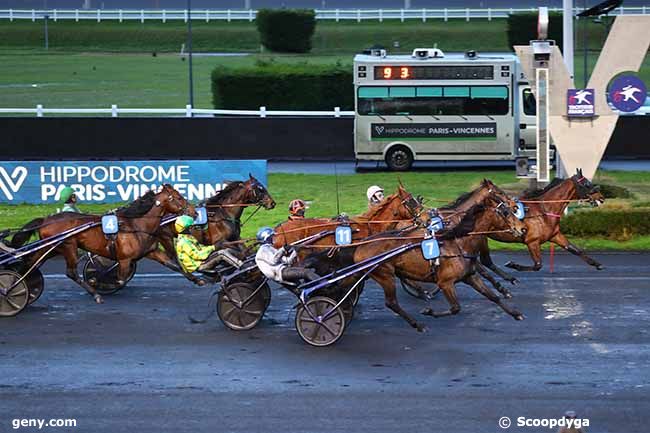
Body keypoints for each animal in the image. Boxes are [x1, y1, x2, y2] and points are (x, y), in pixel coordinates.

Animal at [11, 184, 191, 302]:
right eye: (179, 197)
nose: (193, 211)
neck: (136, 225)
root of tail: (45, 220)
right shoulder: (125, 259)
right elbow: (118, 279)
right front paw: (97, 280)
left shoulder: (151, 252)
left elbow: (175, 266)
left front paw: (195, 279)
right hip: (68, 246)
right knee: (71, 272)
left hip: (52, 248)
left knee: (31, 262)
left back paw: (18, 285)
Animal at [346, 183, 524, 330]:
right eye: (505, 212)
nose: (522, 228)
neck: (458, 241)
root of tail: (361, 246)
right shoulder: (446, 283)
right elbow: (456, 307)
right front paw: (429, 312)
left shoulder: (470, 275)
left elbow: (493, 296)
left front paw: (515, 312)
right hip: (385, 275)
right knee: (391, 302)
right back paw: (418, 322)